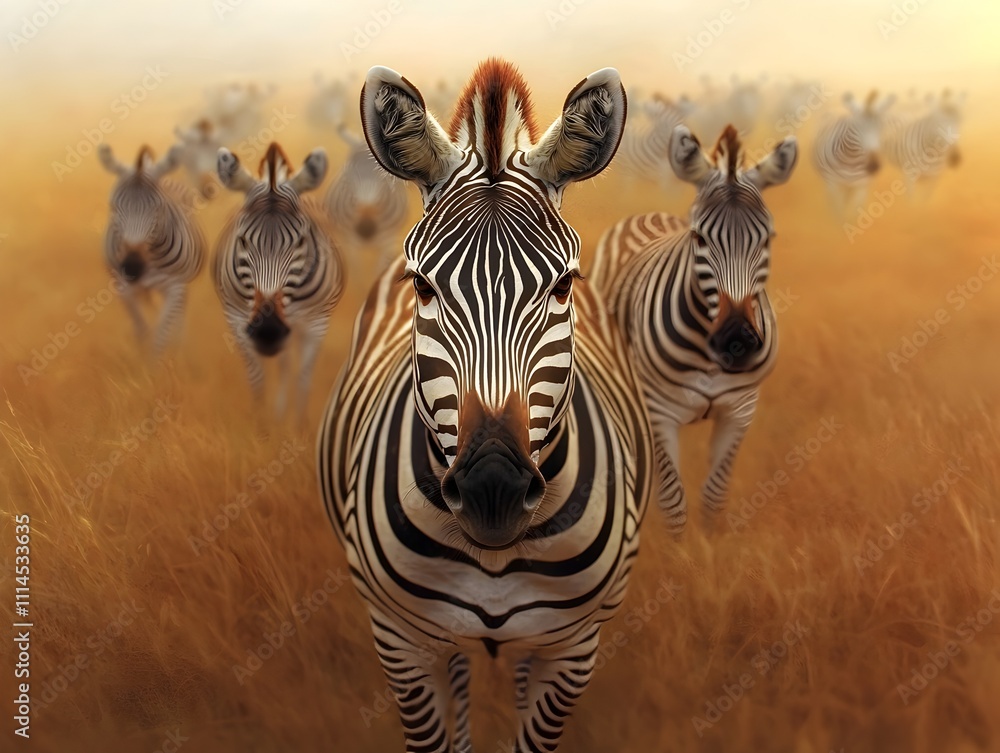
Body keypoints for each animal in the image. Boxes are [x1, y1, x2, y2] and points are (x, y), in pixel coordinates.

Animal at [98, 143, 206, 355]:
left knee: (180, 313)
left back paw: (179, 347)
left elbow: (161, 335)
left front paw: (158, 362)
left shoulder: (175, 287)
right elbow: (141, 328)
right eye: (113, 208)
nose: (132, 268)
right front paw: (141, 358)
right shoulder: (123, 287)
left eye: (158, 209)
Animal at [213, 142, 344, 423]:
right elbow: (257, 377)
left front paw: (298, 425)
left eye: (301, 241)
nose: (268, 331)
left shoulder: (317, 320)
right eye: (242, 240)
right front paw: (261, 424)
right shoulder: (236, 318)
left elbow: (304, 377)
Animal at [324, 122, 410, 273]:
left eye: (385, 177)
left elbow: (381, 268)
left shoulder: (388, 239)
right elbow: (356, 268)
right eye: (347, 172)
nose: (365, 229)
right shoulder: (349, 240)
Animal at [590, 124, 797, 532]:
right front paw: (679, 549)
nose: (736, 343)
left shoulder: (740, 411)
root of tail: (648, 213)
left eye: (768, 239)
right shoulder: (658, 413)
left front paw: (714, 547)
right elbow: (673, 503)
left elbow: (714, 497)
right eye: (700, 238)